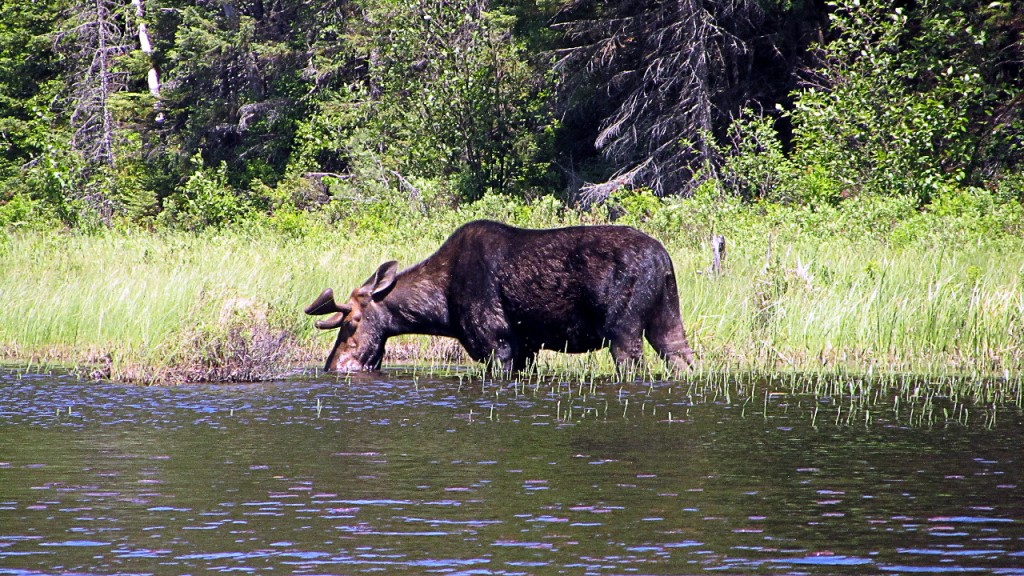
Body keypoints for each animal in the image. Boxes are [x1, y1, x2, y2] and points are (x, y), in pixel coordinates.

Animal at [303, 219, 696, 373]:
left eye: (351, 323)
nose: (333, 366)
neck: (440, 311)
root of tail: (664, 260)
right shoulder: (527, 347)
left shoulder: (498, 343)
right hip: (669, 319)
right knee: (684, 359)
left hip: (623, 329)